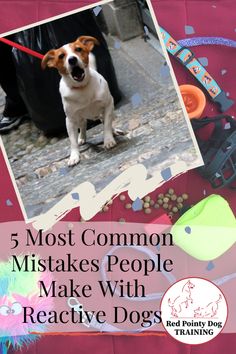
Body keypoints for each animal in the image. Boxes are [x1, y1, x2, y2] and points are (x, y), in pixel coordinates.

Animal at [42, 35, 117, 166]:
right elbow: (72, 141)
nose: (72, 59)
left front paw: (108, 140)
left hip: (103, 112)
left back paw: (115, 131)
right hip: (80, 117)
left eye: (78, 49)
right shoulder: (70, 120)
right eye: (61, 56)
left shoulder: (108, 105)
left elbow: (107, 126)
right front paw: (74, 156)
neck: (82, 87)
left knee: (105, 122)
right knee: (83, 125)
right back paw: (81, 138)